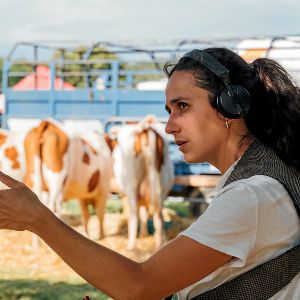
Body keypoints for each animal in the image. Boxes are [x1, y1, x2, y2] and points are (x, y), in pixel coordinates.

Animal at [110, 116, 175, 250]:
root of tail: (146, 129)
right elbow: (145, 214)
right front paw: (144, 235)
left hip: (131, 186)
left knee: (134, 216)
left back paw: (131, 247)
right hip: (161, 188)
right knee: (158, 217)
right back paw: (158, 244)